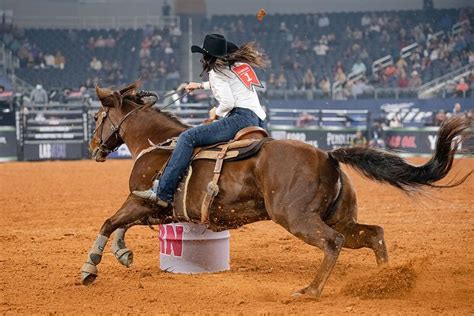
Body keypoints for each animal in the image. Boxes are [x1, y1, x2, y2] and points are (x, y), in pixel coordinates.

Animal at [81, 80, 470, 298]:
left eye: (98, 117)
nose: (92, 146)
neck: (160, 143)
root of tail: (327, 154)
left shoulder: (144, 200)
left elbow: (109, 222)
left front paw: (90, 268)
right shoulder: (161, 212)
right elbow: (121, 225)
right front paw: (123, 253)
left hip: (296, 218)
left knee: (333, 243)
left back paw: (311, 290)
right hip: (339, 217)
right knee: (373, 233)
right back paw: (386, 281)